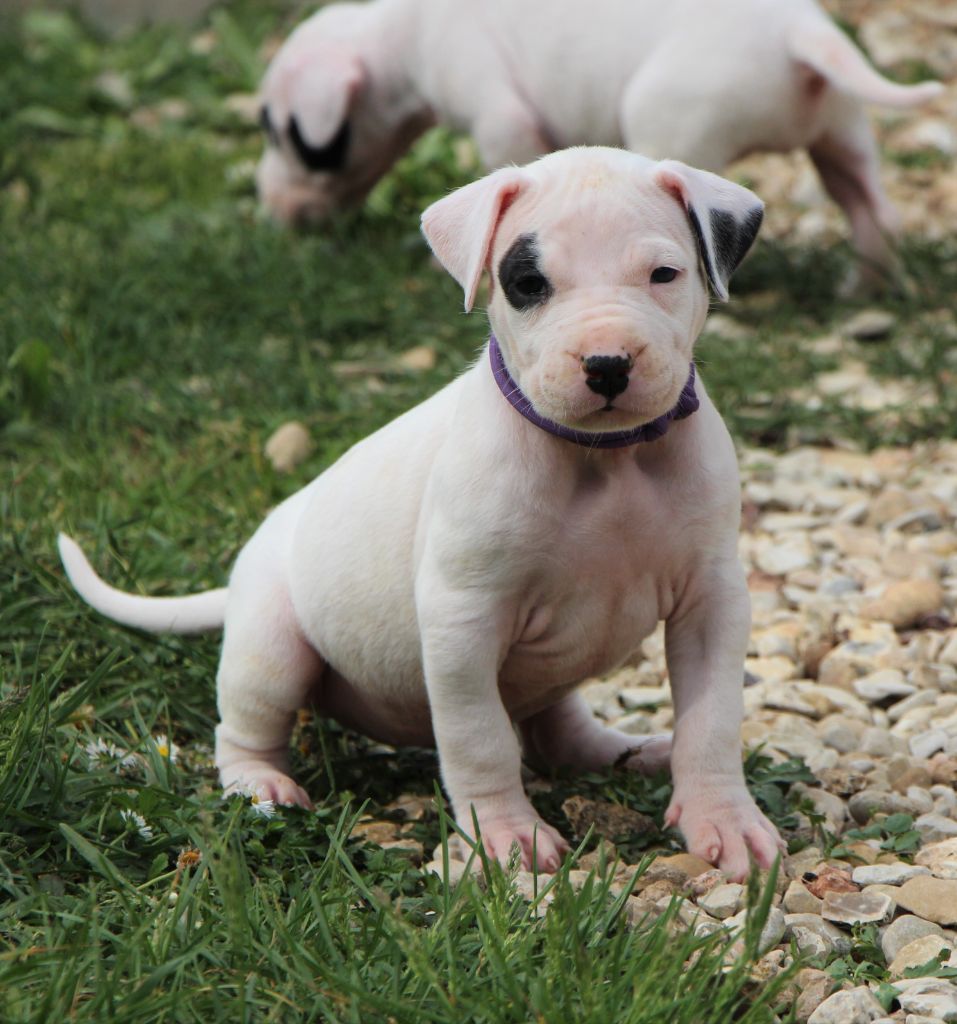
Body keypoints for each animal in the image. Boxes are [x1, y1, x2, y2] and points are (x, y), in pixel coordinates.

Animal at [61, 146, 783, 880]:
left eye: (663, 275)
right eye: (527, 283)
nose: (607, 364)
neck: (605, 458)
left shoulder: (711, 601)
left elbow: (711, 719)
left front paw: (722, 818)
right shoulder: (463, 620)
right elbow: (479, 738)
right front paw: (505, 835)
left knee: (555, 727)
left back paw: (623, 751)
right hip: (270, 647)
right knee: (244, 724)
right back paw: (260, 784)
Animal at [256, 0, 942, 283]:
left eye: (274, 127)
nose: (270, 212)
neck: (396, 38)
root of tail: (800, 33)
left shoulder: (497, 113)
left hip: (674, 127)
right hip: (841, 131)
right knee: (874, 210)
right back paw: (867, 287)